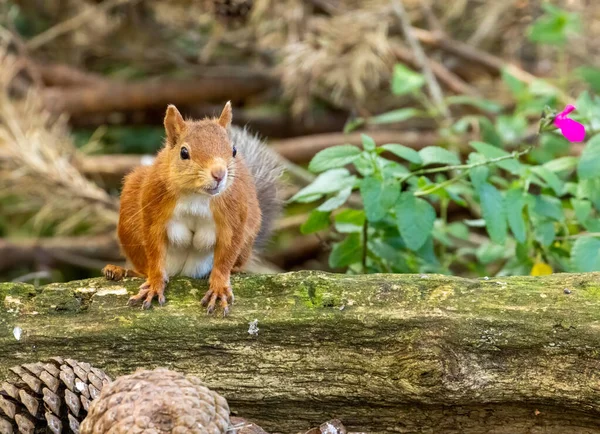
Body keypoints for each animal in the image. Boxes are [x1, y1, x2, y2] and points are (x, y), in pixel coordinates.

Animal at [102, 102, 282, 316]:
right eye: (184, 152)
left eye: (234, 150)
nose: (219, 174)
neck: (197, 196)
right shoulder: (154, 208)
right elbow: (154, 251)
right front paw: (155, 283)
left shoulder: (234, 216)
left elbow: (226, 255)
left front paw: (219, 287)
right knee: (142, 267)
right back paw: (119, 271)